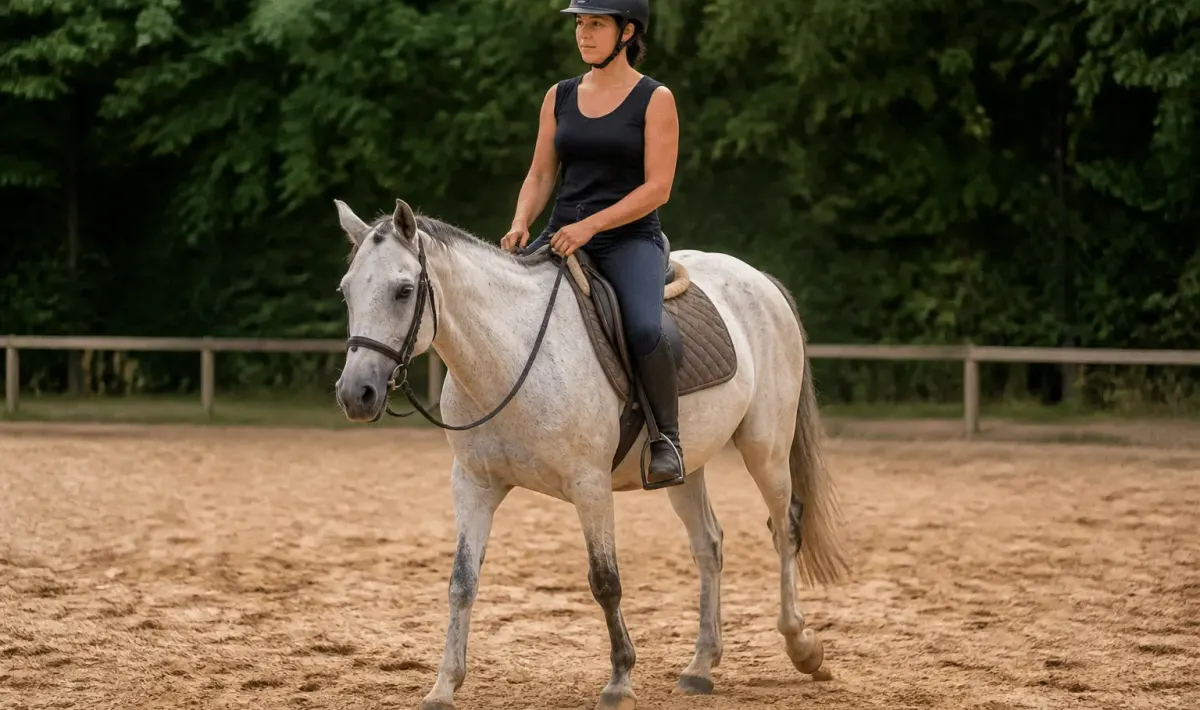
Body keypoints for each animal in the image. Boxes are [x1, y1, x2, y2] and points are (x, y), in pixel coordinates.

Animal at [332, 198, 851, 710]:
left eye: (403, 291)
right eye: (346, 291)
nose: (356, 394)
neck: (511, 356)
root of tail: (758, 280)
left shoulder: (590, 486)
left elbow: (605, 581)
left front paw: (619, 681)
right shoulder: (473, 485)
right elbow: (462, 582)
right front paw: (443, 687)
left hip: (766, 448)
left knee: (784, 530)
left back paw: (802, 646)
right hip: (688, 465)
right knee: (709, 544)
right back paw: (701, 666)